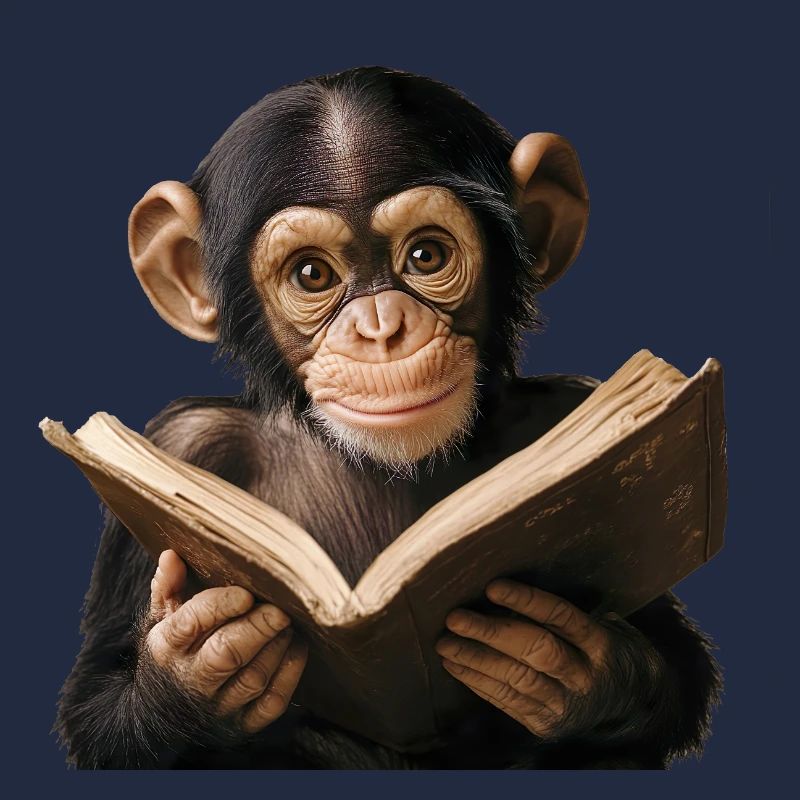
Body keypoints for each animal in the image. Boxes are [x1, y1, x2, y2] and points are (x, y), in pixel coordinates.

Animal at [54, 66, 721, 769]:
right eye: (312, 273)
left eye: (426, 256)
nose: (382, 328)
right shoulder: (184, 445)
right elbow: (98, 699)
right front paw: (197, 667)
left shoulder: (570, 413)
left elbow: (667, 655)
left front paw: (570, 662)